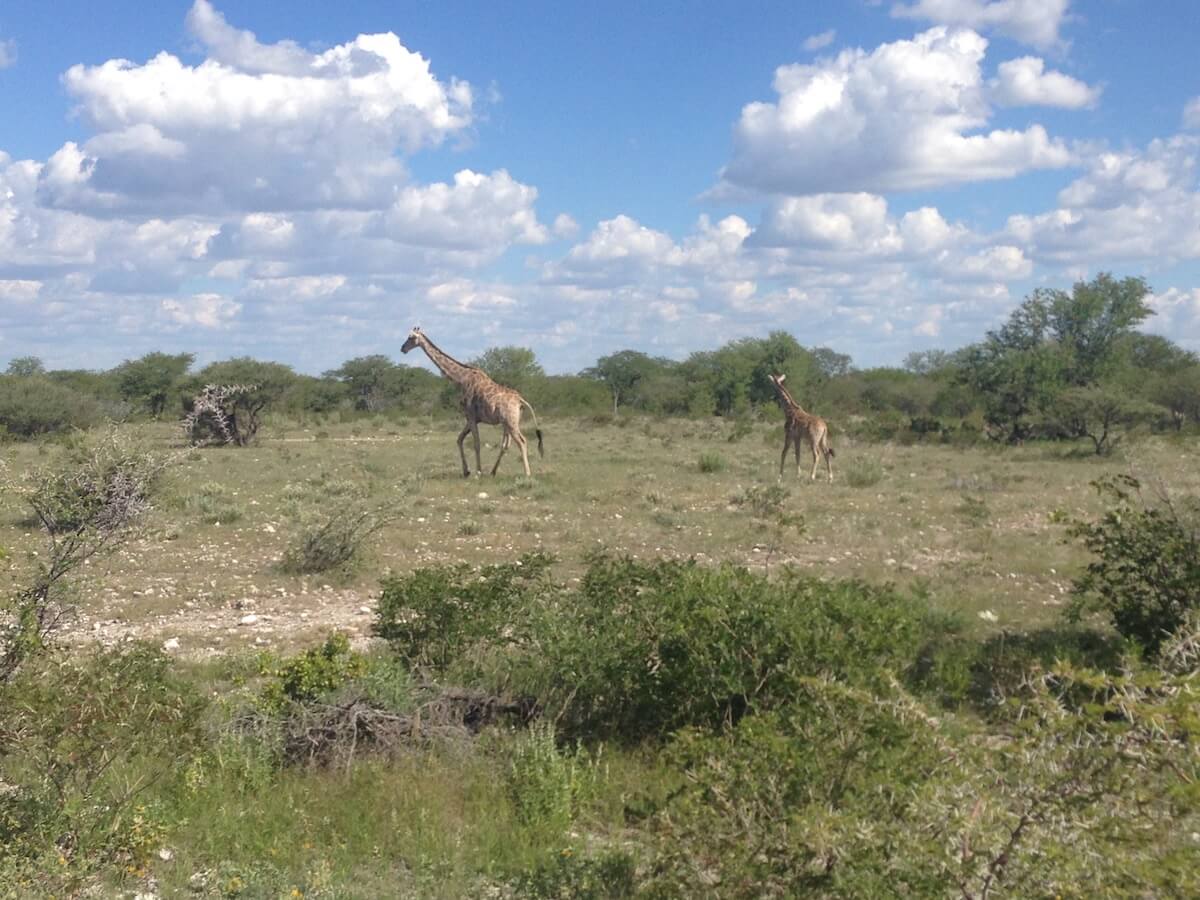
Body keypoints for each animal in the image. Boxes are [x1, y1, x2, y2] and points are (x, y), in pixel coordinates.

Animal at [400, 326, 547, 480]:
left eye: (411, 337)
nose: (402, 348)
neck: (460, 379)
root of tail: (520, 400)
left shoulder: (470, 415)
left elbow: (476, 443)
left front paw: (478, 472)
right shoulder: (472, 418)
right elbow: (459, 439)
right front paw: (467, 471)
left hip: (511, 422)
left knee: (522, 441)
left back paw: (527, 474)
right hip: (508, 422)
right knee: (506, 444)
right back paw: (493, 471)